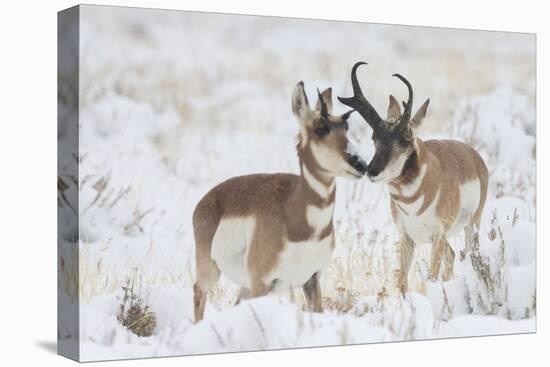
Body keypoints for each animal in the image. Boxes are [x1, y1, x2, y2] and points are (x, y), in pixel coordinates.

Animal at [192, 81, 368, 322]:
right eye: (320, 129)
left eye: (346, 127)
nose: (361, 163)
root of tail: (207, 199)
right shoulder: (261, 281)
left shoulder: (312, 279)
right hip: (210, 271)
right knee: (198, 293)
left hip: (244, 286)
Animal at [340, 61, 492, 294]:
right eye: (375, 138)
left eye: (405, 140)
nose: (372, 170)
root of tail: (473, 155)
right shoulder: (406, 237)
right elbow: (402, 282)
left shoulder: (438, 235)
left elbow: (430, 278)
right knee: (452, 255)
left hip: (472, 225)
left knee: (467, 257)